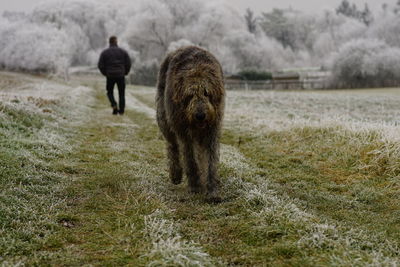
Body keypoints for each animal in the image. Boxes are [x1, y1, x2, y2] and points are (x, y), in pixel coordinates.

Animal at [156, 46, 225, 202]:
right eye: (190, 95)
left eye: (206, 93)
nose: (200, 116)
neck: (196, 68)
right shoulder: (183, 131)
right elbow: (190, 159)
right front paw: (194, 187)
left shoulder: (212, 130)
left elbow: (210, 160)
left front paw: (212, 190)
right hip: (164, 118)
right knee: (172, 146)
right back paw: (175, 174)